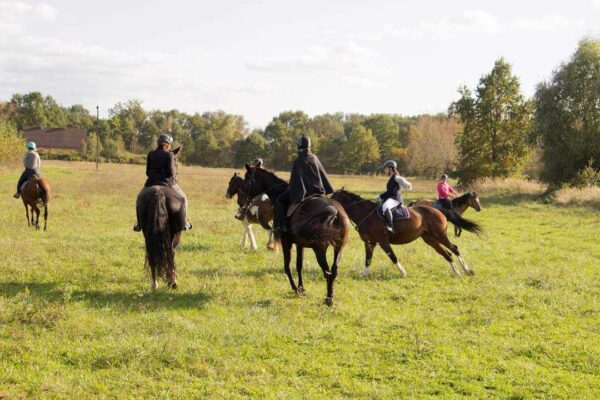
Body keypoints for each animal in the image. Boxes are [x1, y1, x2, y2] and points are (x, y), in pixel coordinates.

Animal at [241, 165, 350, 306]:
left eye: (247, 179)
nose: (244, 202)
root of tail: (335, 211)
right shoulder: (299, 244)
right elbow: (299, 265)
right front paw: (301, 288)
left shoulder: (286, 242)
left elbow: (287, 266)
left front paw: (296, 290)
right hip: (339, 248)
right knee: (334, 271)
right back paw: (329, 298)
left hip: (320, 249)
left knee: (327, 272)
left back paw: (328, 300)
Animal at [330, 191, 480, 278]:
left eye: (333, 198)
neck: (366, 214)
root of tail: (439, 211)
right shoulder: (369, 242)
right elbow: (368, 259)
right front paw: (364, 275)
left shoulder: (383, 242)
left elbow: (393, 257)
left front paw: (403, 272)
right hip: (430, 239)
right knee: (447, 254)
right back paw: (458, 272)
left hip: (440, 235)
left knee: (454, 249)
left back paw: (466, 270)